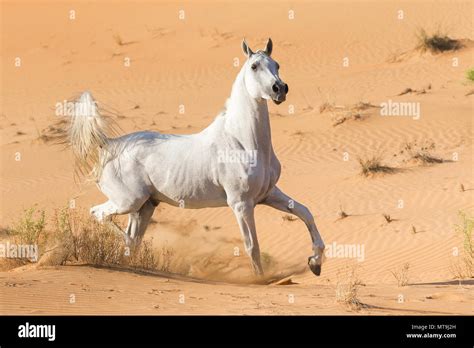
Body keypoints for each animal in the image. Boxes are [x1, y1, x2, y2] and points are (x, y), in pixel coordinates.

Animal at [67, 38, 326, 276]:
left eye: (277, 64)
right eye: (254, 66)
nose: (279, 89)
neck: (244, 142)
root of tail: (110, 145)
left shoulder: (268, 194)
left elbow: (305, 213)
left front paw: (315, 263)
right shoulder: (241, 204)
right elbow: (252, 246)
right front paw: (261, 280)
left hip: (145, 206)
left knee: (132, 237)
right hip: (128, 201)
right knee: (99, 215)